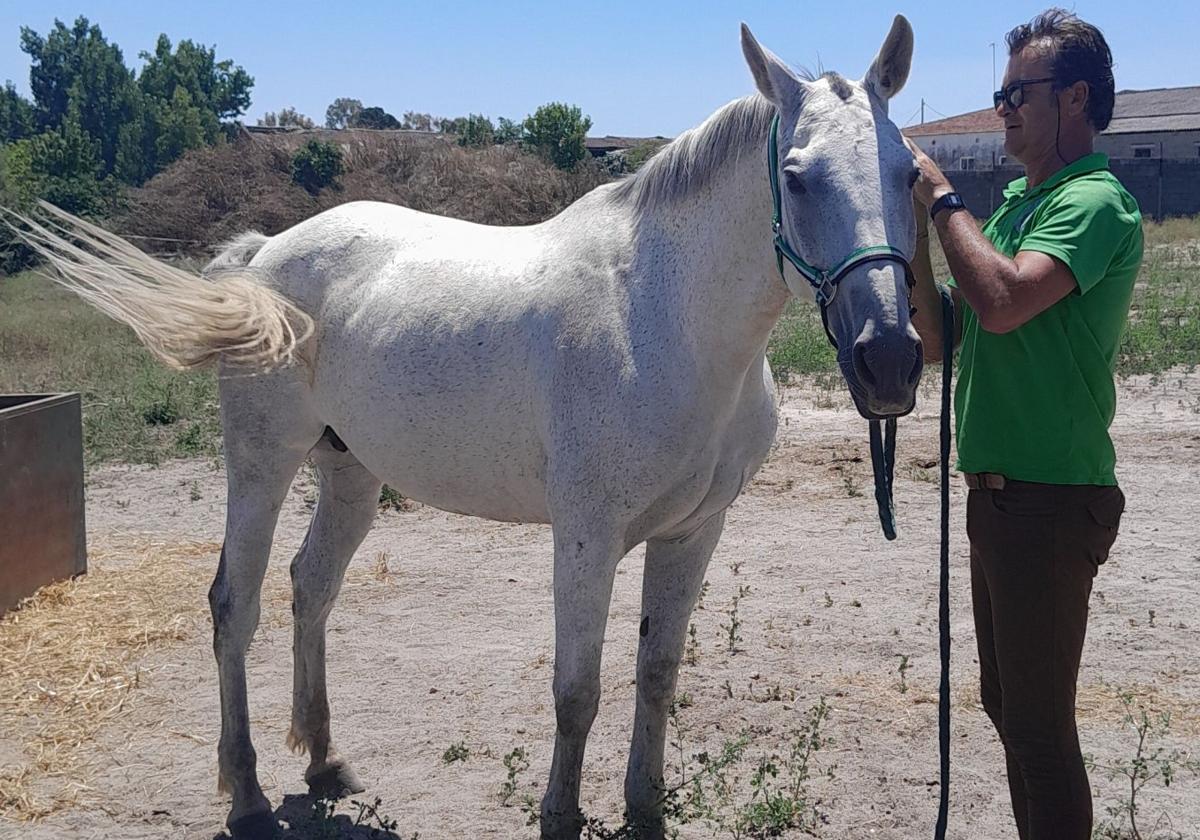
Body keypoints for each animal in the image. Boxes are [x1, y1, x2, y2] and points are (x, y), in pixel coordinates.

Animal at [14, 16, 921, 835]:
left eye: (908, 172)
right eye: (797, 178)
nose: (889, 359)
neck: (663, 316)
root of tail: (262, 258)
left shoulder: (693, 532)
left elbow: (657, 674)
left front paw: (645, 810)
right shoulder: (587, 535)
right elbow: (577, 691)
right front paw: (560, 815)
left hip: (350, 473)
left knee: (312, 587)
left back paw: (324, 760)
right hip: (262, 464)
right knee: (235, 605)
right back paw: (246, 792)